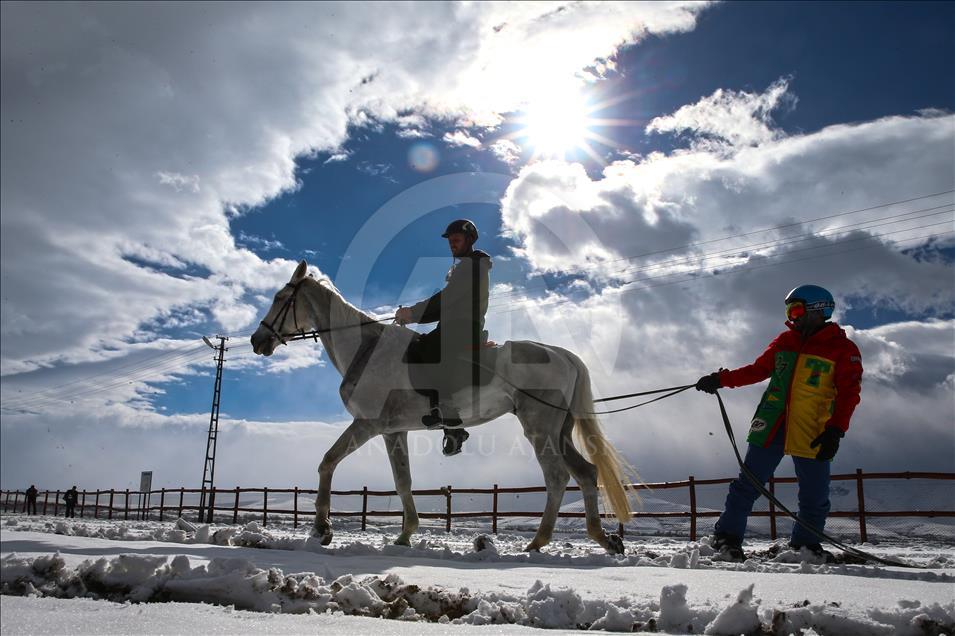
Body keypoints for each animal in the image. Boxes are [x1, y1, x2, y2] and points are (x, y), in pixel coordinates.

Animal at [252, 260, 636, 556]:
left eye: (280, 298)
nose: (258, 340)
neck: (365, 349)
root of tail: (563, 355)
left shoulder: (367, 424)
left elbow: (327, 462)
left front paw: (321, 528)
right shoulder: (394, 431)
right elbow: (403, 481)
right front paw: (405, 534)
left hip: (539, 428)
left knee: (557, 477)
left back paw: (539, 542)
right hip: (559, 430)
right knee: (586, 473)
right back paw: (603, 539)